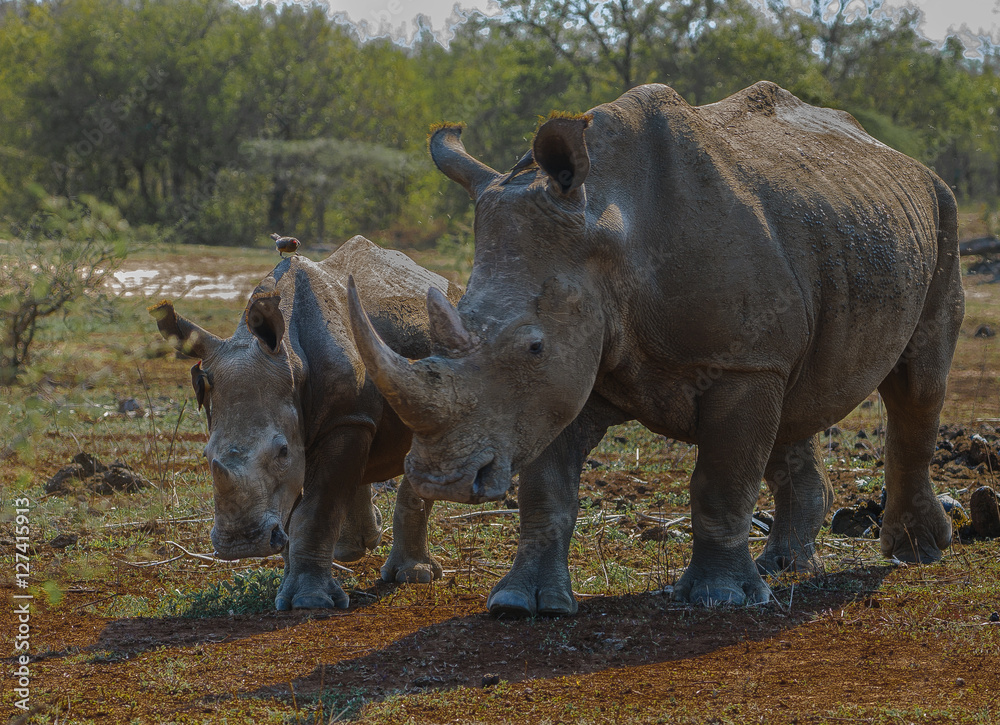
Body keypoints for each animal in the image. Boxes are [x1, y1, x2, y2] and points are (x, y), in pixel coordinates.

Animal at [151, 235, 457, 609]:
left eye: (282, 452)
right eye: (206, 457)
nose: (241, 544)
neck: (293, 359)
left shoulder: (344, 420)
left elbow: (316, 510)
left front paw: (311, 602)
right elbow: (292, 512)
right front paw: (291, 588)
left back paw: (414, 575)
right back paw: (354, 547)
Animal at [348, 82, 965, 616]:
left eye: (532, 346)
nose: (441, 479)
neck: (610, 225)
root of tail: (902, 159)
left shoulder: (738, 364)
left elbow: (721, 480)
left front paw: (719, 599)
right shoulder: (569, 370)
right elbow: (546, 489)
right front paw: (522, 604)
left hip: (942, 212)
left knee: (917, 385)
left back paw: (916, 553)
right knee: (796, 402)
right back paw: (785, 567)